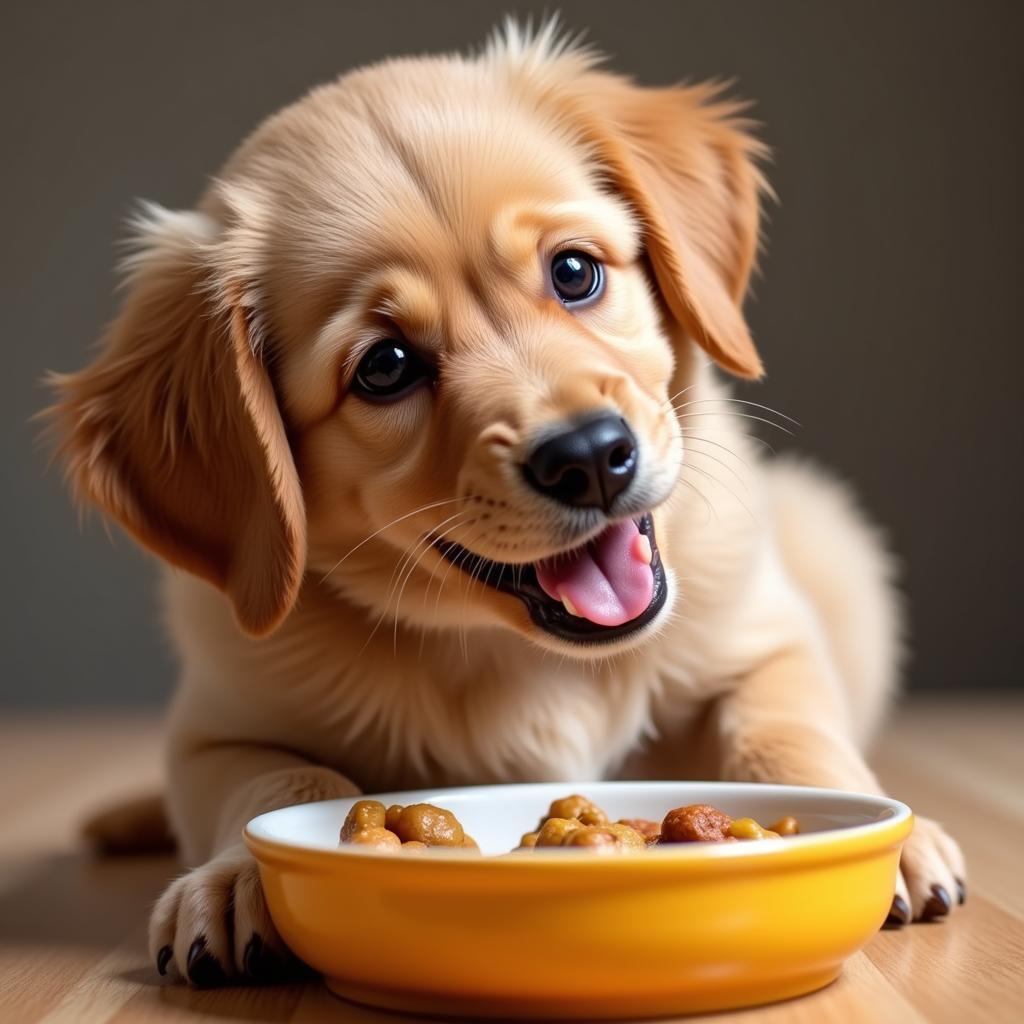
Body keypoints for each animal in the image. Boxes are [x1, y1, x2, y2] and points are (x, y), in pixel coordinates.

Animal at [48, 24, 962, 983]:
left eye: (575, 272)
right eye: (385, 367)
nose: (591, 458)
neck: (523, 657)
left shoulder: (765, 638)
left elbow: (787, 733)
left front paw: (893, 835)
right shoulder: (218, 726)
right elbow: (277, 781)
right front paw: (233, 877)